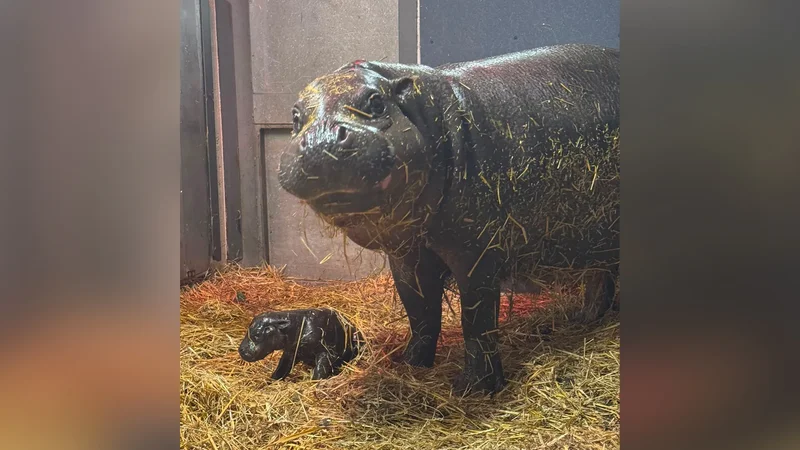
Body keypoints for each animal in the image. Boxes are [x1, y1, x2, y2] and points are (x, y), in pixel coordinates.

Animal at [278, 44, 620, 394]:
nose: (321, 139)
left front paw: (474, 389)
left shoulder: (475, 252)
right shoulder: (406, 255)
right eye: (295, 116)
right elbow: (420, 312)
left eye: (376, 101)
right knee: (601, 278)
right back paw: (583, 318)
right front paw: (410, 364)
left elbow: (477, 319)